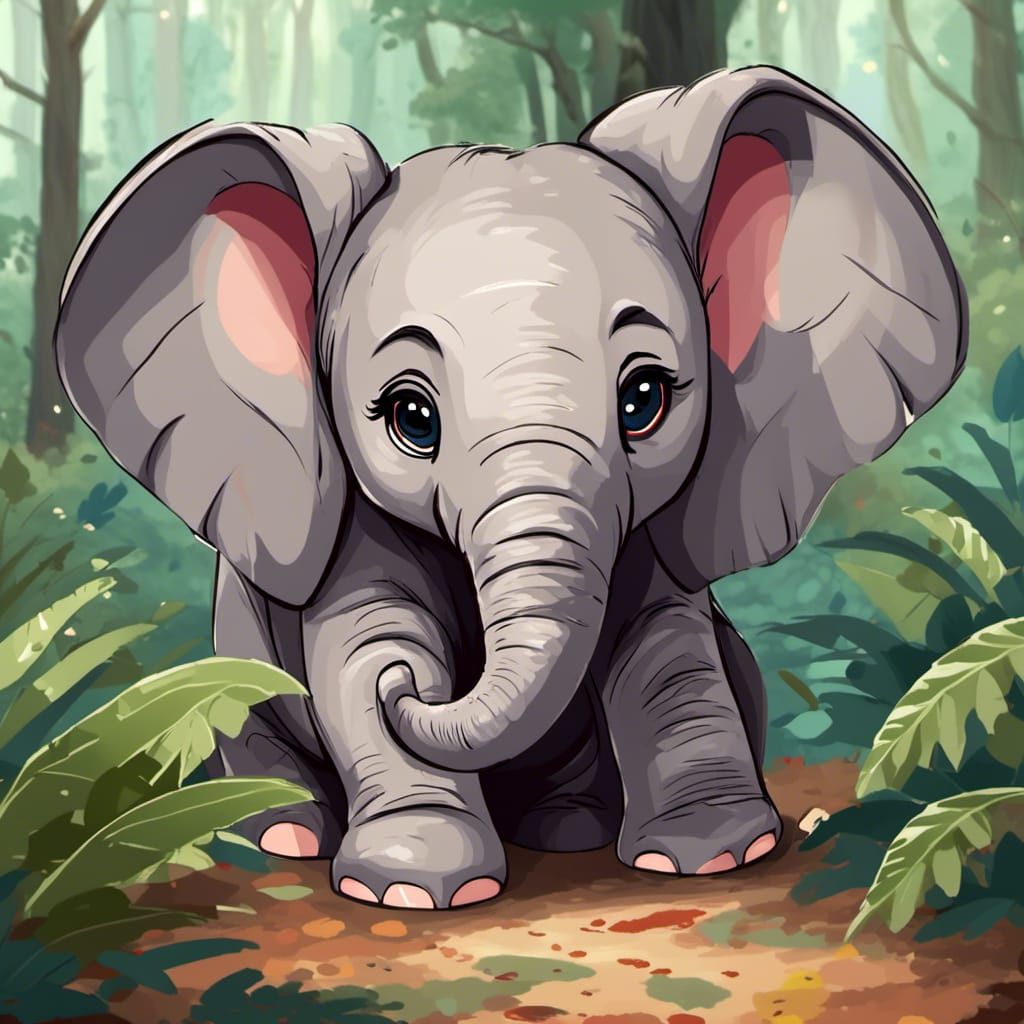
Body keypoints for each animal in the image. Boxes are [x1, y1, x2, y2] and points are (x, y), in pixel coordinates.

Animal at [55, 66, 967, 911]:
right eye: (411, 417)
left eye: (644, 400)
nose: (423, 690)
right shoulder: (352, 526)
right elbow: (365, 648)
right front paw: (412, 889)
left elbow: (667, 651)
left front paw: (715, 856)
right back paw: (287, 834)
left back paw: (568, 831)